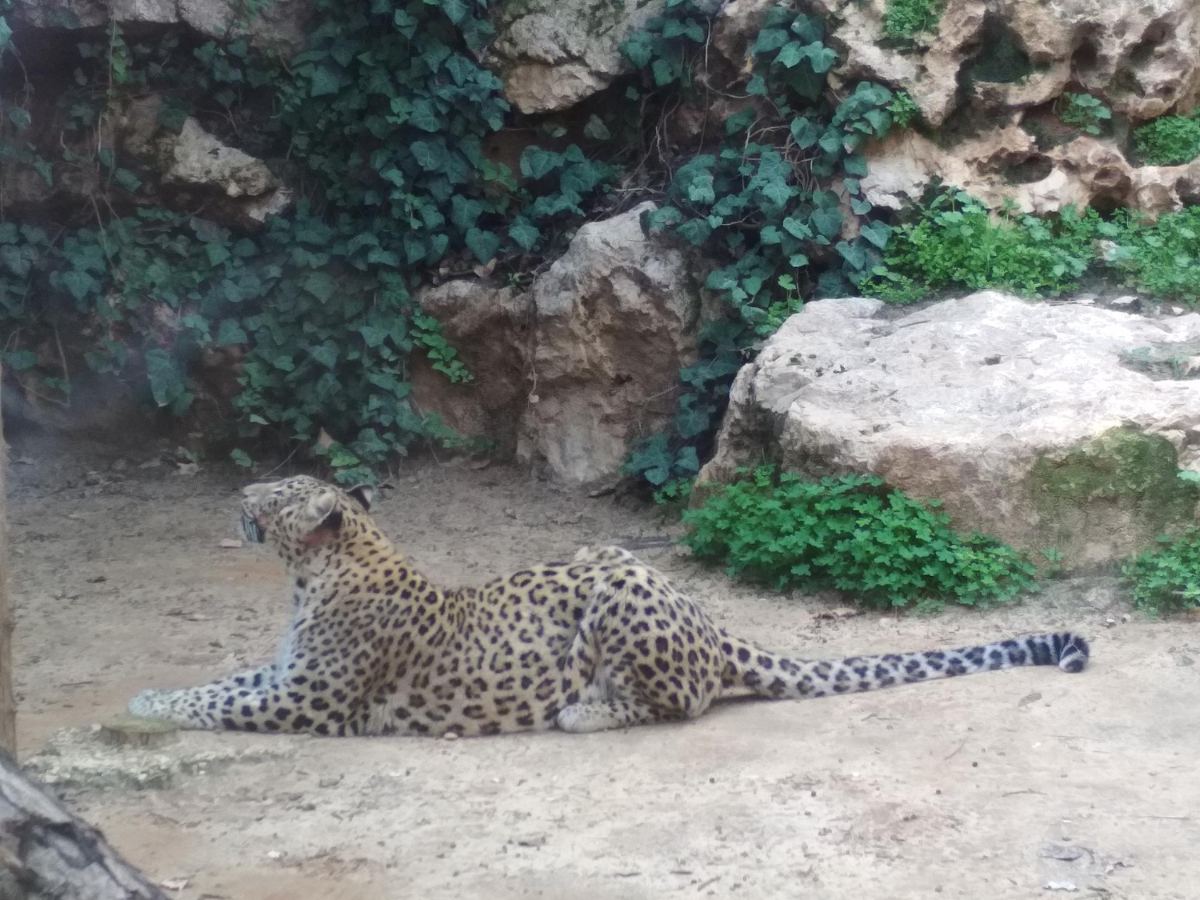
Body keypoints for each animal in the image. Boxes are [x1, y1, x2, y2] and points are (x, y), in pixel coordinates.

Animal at [128, 475, 1090, 737]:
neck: (315, 577)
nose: (241, 495)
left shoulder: (312, 701)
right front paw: (147, 697)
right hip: (605, 553)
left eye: (282, 493)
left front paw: (143, 709)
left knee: (675, 702)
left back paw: (582, 711)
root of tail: (715, 627)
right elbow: (222, 680)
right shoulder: (285, 675)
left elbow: (217, 702)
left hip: (615, 591)